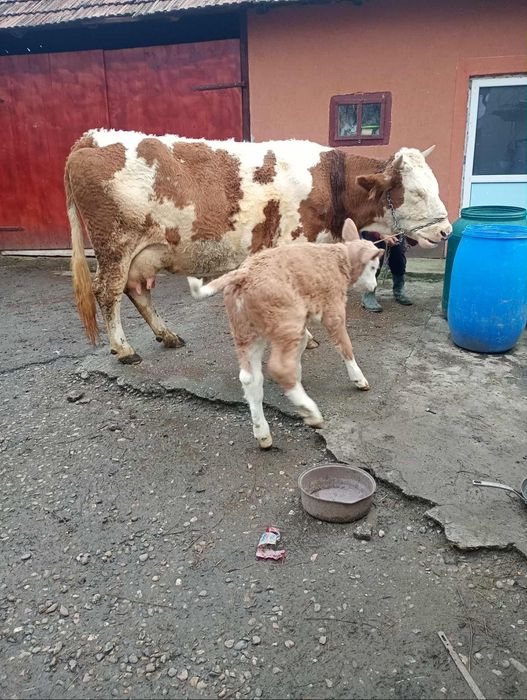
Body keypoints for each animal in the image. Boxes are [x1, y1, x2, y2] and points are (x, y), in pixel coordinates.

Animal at [65, 129, 452, 363]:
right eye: (417, 192)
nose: (447, 230)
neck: (331, 180)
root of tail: (92, 137)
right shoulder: (293, 241)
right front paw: (305, 336)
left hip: (142, 252)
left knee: (136, 291)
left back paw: (167, 335)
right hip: (115, 244)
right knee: (108, 290)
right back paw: (123, 347)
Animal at [188, 219, 383, 448]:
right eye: (373, 267)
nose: (374, 285)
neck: (338, 260)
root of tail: (243, 273)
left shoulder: (302, 322)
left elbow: (302, 345)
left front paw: (299, 372)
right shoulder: (332, 310)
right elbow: (344, 346)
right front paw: (359, 379)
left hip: (247, 332)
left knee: (251, 379)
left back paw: (263, 434)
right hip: (286, 319)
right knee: (279, 368)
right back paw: (310, 411)